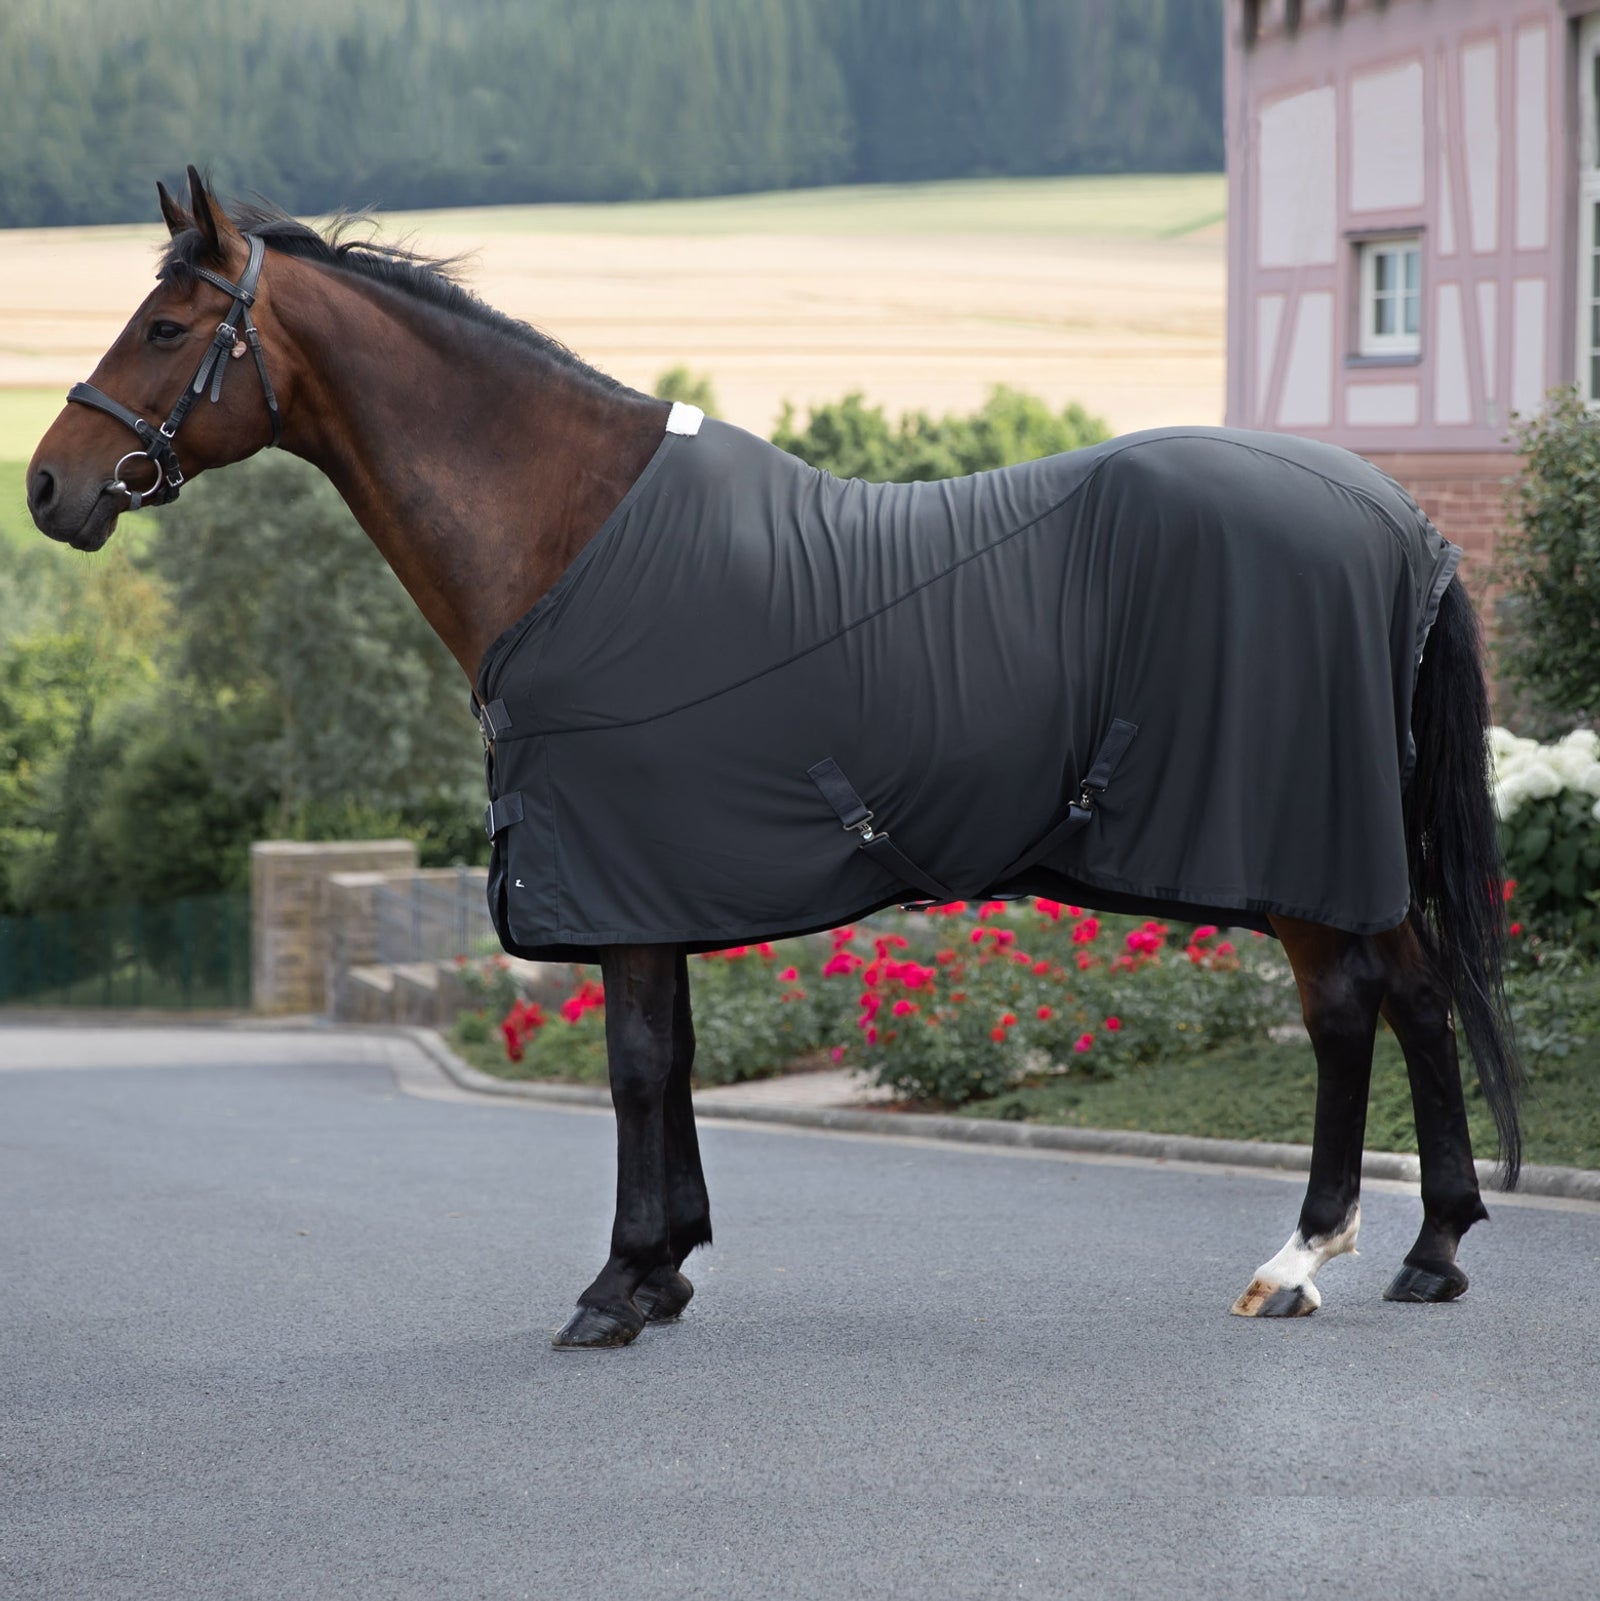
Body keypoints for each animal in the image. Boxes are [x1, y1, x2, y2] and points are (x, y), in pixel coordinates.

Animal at [27, 169, 1521, 1348]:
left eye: (165, 327)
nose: (50, 485)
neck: (564, 530)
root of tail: (1394, 517)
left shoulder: (622, 876)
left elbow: (636, 1063)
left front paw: (616, 1288)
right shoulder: (660, 879)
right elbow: (675, 1055)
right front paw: (667, 1269)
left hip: (1297, 849)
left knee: (1348, 1008)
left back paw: (1304, 1256)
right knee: (1418, 990)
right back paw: (1432, 1247)